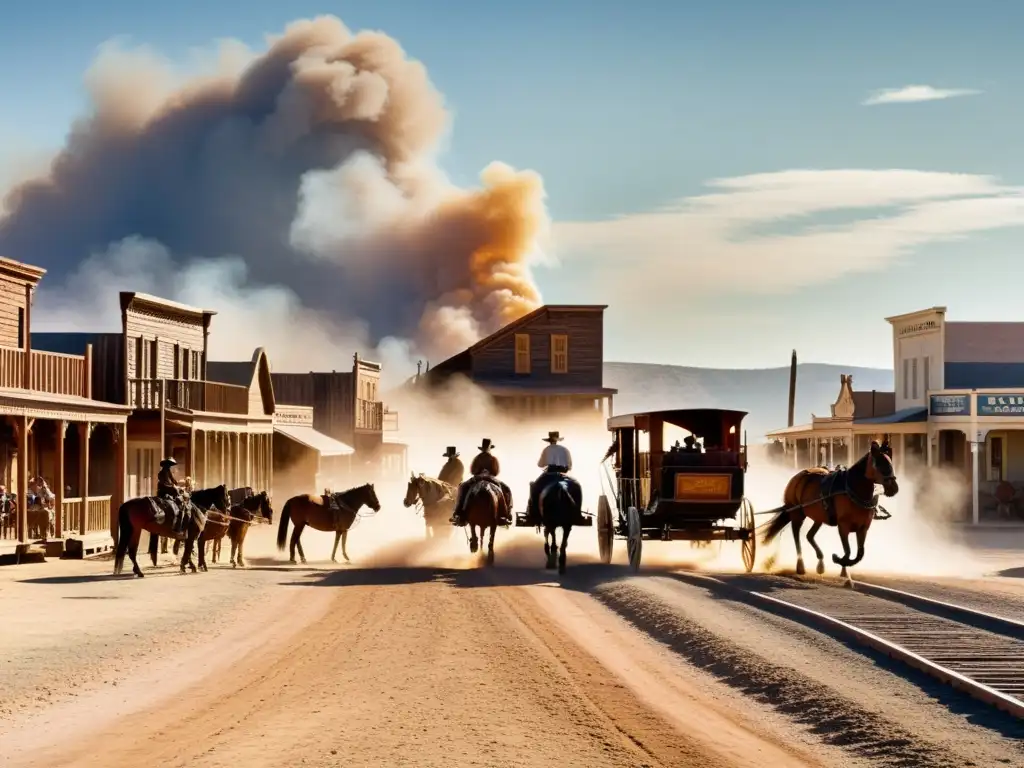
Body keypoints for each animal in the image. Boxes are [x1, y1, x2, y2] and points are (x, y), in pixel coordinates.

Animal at [761, 438, 897, 577]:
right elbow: (847, 551)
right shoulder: (843, 526)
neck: (851, 490)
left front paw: (844, 568)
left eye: (890, 462)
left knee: (809, 535)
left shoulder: (863, 528)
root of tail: (797, 478)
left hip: (818, 518)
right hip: (797, 513)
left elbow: (859, 554)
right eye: (879, 464)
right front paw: (838, 559)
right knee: (796, 535)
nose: (894, 488)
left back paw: (820, 562)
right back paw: (800, 565)